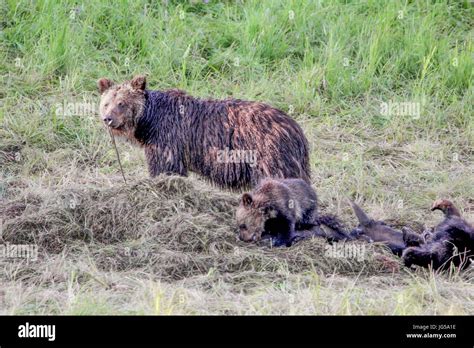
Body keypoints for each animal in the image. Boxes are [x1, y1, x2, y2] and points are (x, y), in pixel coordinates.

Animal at [96, 75, 312, 189]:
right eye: (106, 103)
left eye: (121, 103)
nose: (108, 118)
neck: (149, 123)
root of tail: (296, 129)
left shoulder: (168, 142)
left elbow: (167, 169)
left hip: (269, 154)